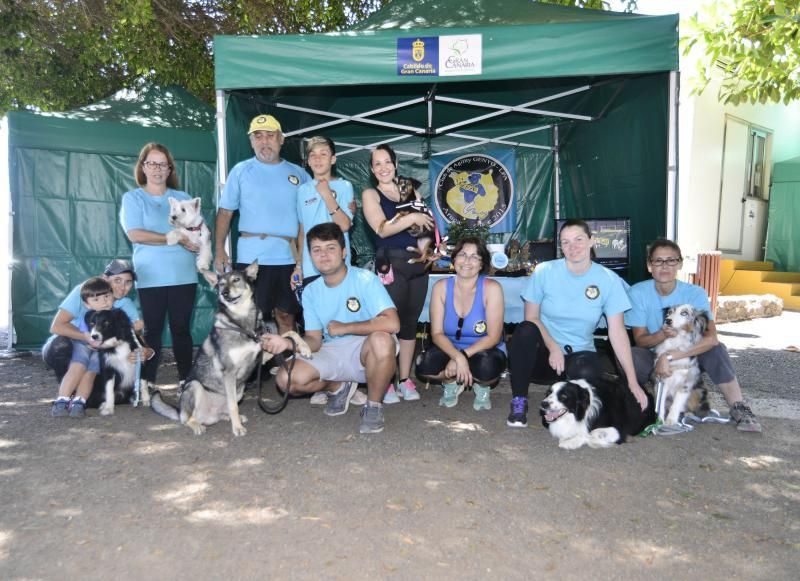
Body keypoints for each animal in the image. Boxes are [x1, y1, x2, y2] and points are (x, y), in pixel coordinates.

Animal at [150, 260, 310, 436]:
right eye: (221, 284)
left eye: (236, 280)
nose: (224, 293)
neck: (242, 324)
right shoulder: (229, 372)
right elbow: (233, 406)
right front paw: (237, 429)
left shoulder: (261, 355)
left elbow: (289, 334)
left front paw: (305, 348)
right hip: (194, 386)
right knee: (188, 419)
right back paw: (198, 424)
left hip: (239, 390)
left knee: (221, 413)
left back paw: (232, 418)